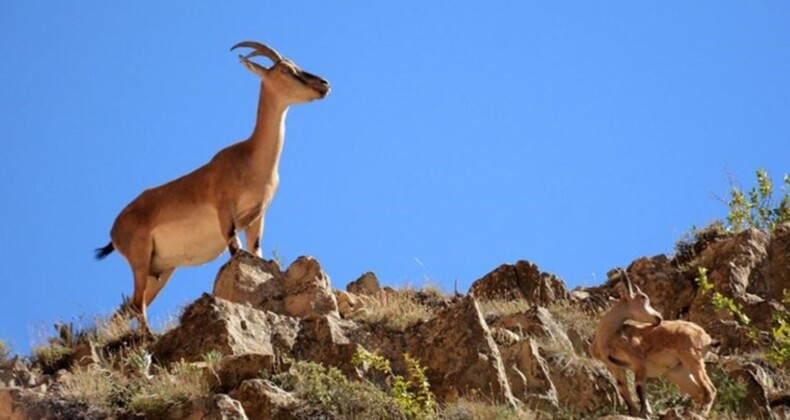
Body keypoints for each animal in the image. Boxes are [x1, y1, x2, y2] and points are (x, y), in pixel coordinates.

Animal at [96, 40, 332, 334]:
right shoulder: (224, 211)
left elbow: (255, 251)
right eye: (286, 70)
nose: (324, 84)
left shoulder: (257, 217)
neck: (251, 159)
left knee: (127, 307)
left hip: (160, 270)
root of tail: (114, 230)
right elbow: (235, 251)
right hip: (140, 259)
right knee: (137, 305)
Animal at [592, 270, 720, 416]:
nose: (659, 317)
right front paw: (635, 414)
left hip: (692, 358)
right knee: (698, 392)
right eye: (643, 298)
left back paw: (701, 413)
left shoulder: (638, 361)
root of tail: (707, 338)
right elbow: (623, 390)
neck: (606, 338)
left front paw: (646, 413)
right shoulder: (615, 367)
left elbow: (639, 386)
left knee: (710, 388)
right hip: (677, 371)